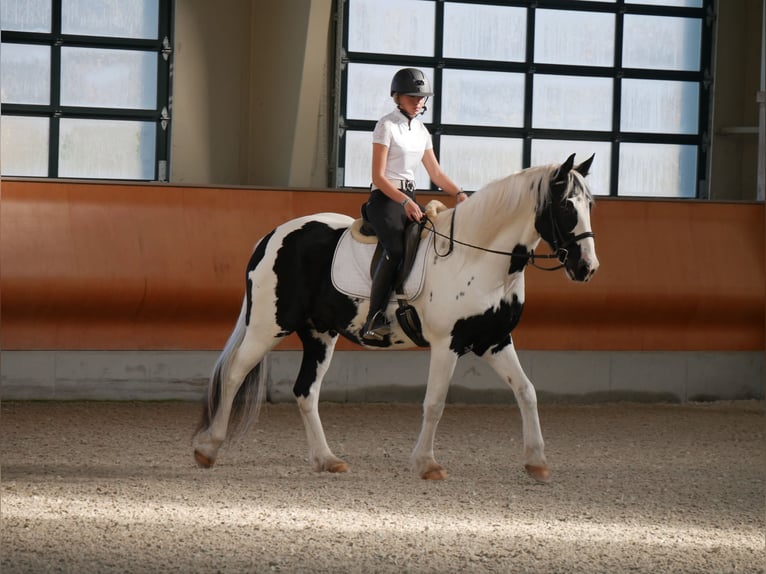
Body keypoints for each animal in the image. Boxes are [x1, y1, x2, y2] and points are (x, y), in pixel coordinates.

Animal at [192, 153, 600, 482]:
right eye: (566, 205)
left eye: (590, 204)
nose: (587, 268)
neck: (480, 258)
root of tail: (273, 236)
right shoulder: (447, 344)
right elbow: (435, 403)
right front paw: (427, 464)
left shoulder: (495, 341)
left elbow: (526, 391)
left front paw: (537, 462)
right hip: (268, 327)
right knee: (234, 374)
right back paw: (208, 449)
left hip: (320, 334)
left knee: (306, 391)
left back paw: (327, 459)